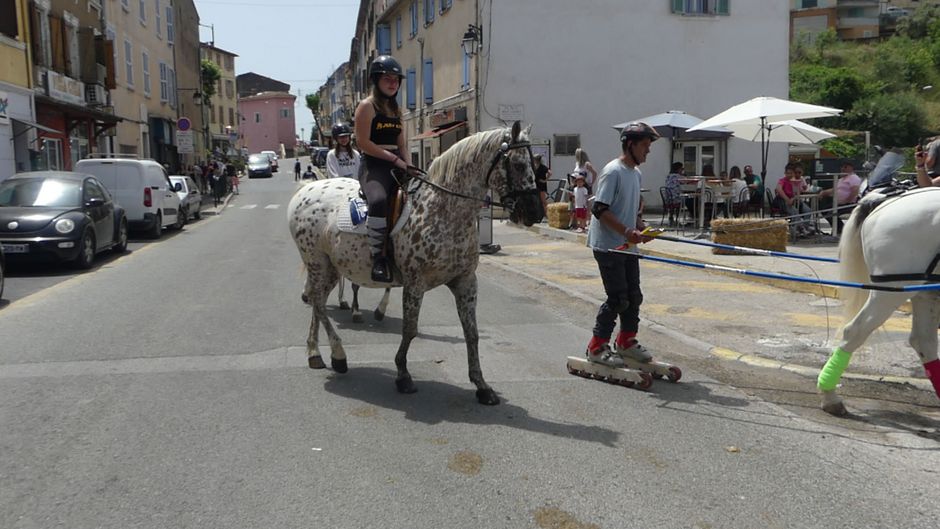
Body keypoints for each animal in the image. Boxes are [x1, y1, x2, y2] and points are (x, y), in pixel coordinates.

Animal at [286, 121, 540, 404]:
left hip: (331, 268)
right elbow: (410, 330)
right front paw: (403, 376)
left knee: (316, 301)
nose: (536, 212)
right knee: (318, 303)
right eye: (518, 164)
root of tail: (304, 193)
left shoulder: (465, 282)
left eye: (534, 162)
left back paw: (315, 353)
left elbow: (471, 333)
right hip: (317, 263)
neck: (443, 208)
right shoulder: (415, 284)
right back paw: (338, 355)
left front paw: (482, 386)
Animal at [820, 188, 940, 414]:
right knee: (855, 331)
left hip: (924, 293)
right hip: (892, 290)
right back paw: (829, 395)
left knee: (924, 342)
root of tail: (884, 200)